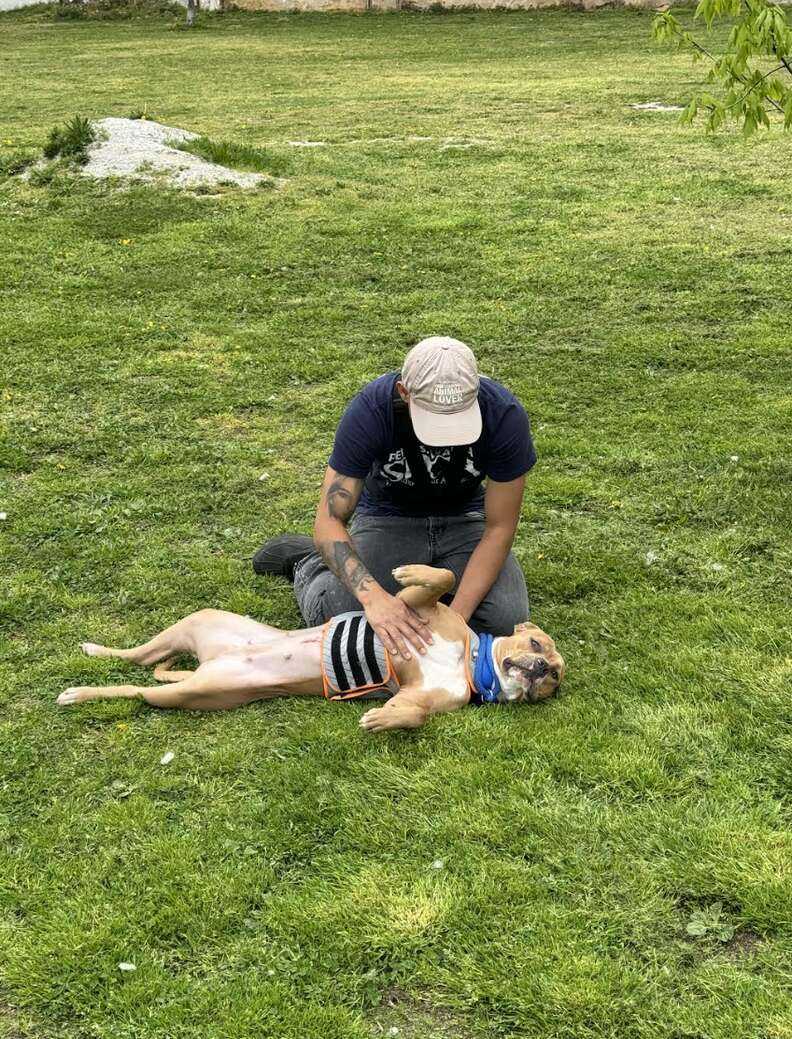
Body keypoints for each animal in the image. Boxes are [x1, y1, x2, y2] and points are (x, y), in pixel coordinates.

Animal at [57, 569, 561, 731]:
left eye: (555, 681)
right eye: (536, 643)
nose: (541, 669)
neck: (470, 660)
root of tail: (208, 663)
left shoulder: (423, 695)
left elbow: (414, 712)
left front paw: (386, 717)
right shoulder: (415, 608)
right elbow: (442, 577)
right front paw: (409, 570)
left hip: (194, 692)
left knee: (139, 684)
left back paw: (81, 691)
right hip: (198, 621)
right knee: (134, 659)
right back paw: (92, 654)